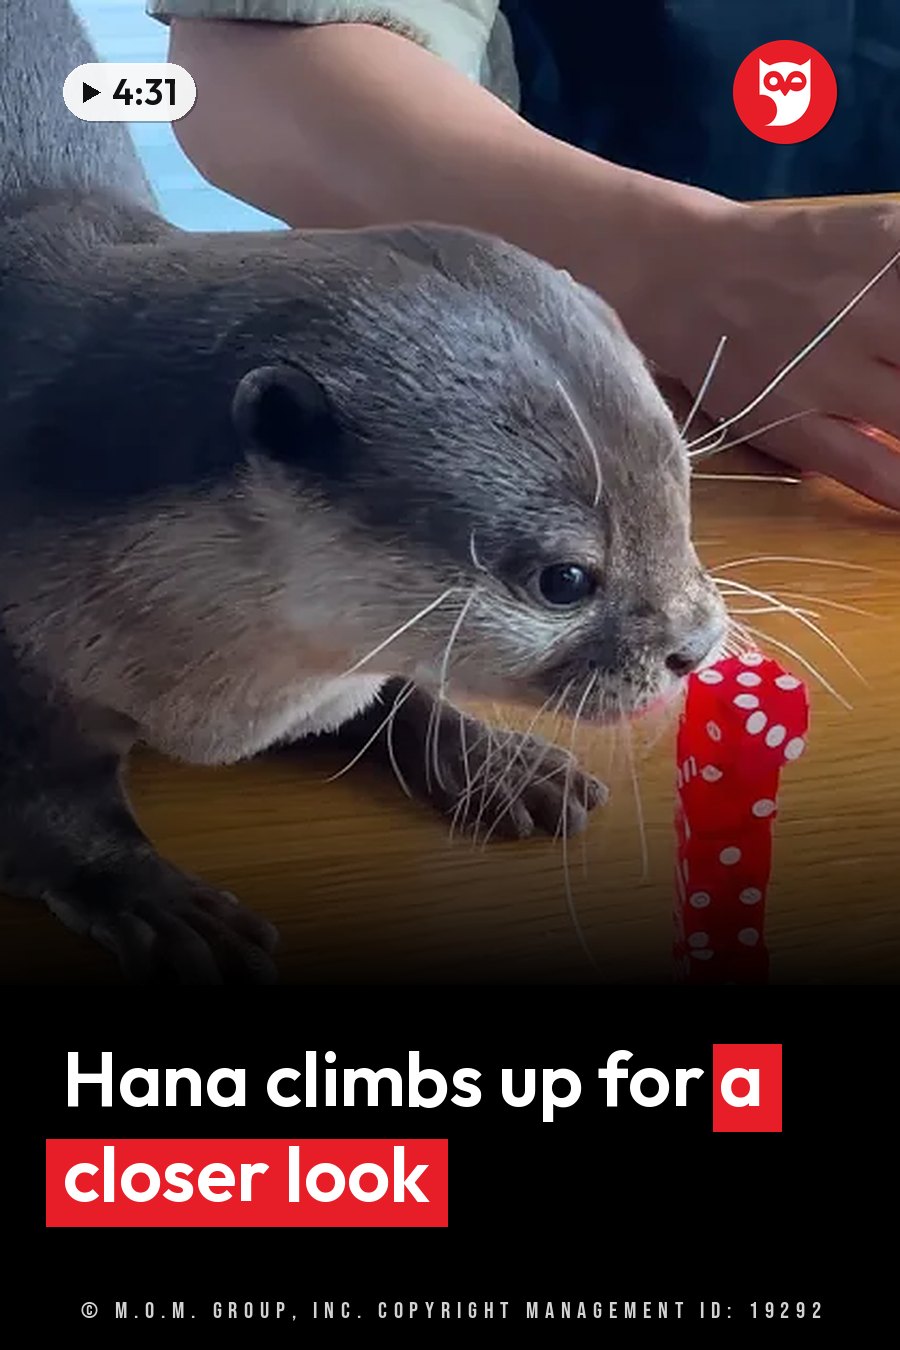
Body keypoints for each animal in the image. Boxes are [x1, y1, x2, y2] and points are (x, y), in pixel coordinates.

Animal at [0, 1, 726, 983]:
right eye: (564, 580)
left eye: (682, 494)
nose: (698, 645)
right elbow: (51, 812)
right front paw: (156, 898)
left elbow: (391, 694)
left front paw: (495, 762)